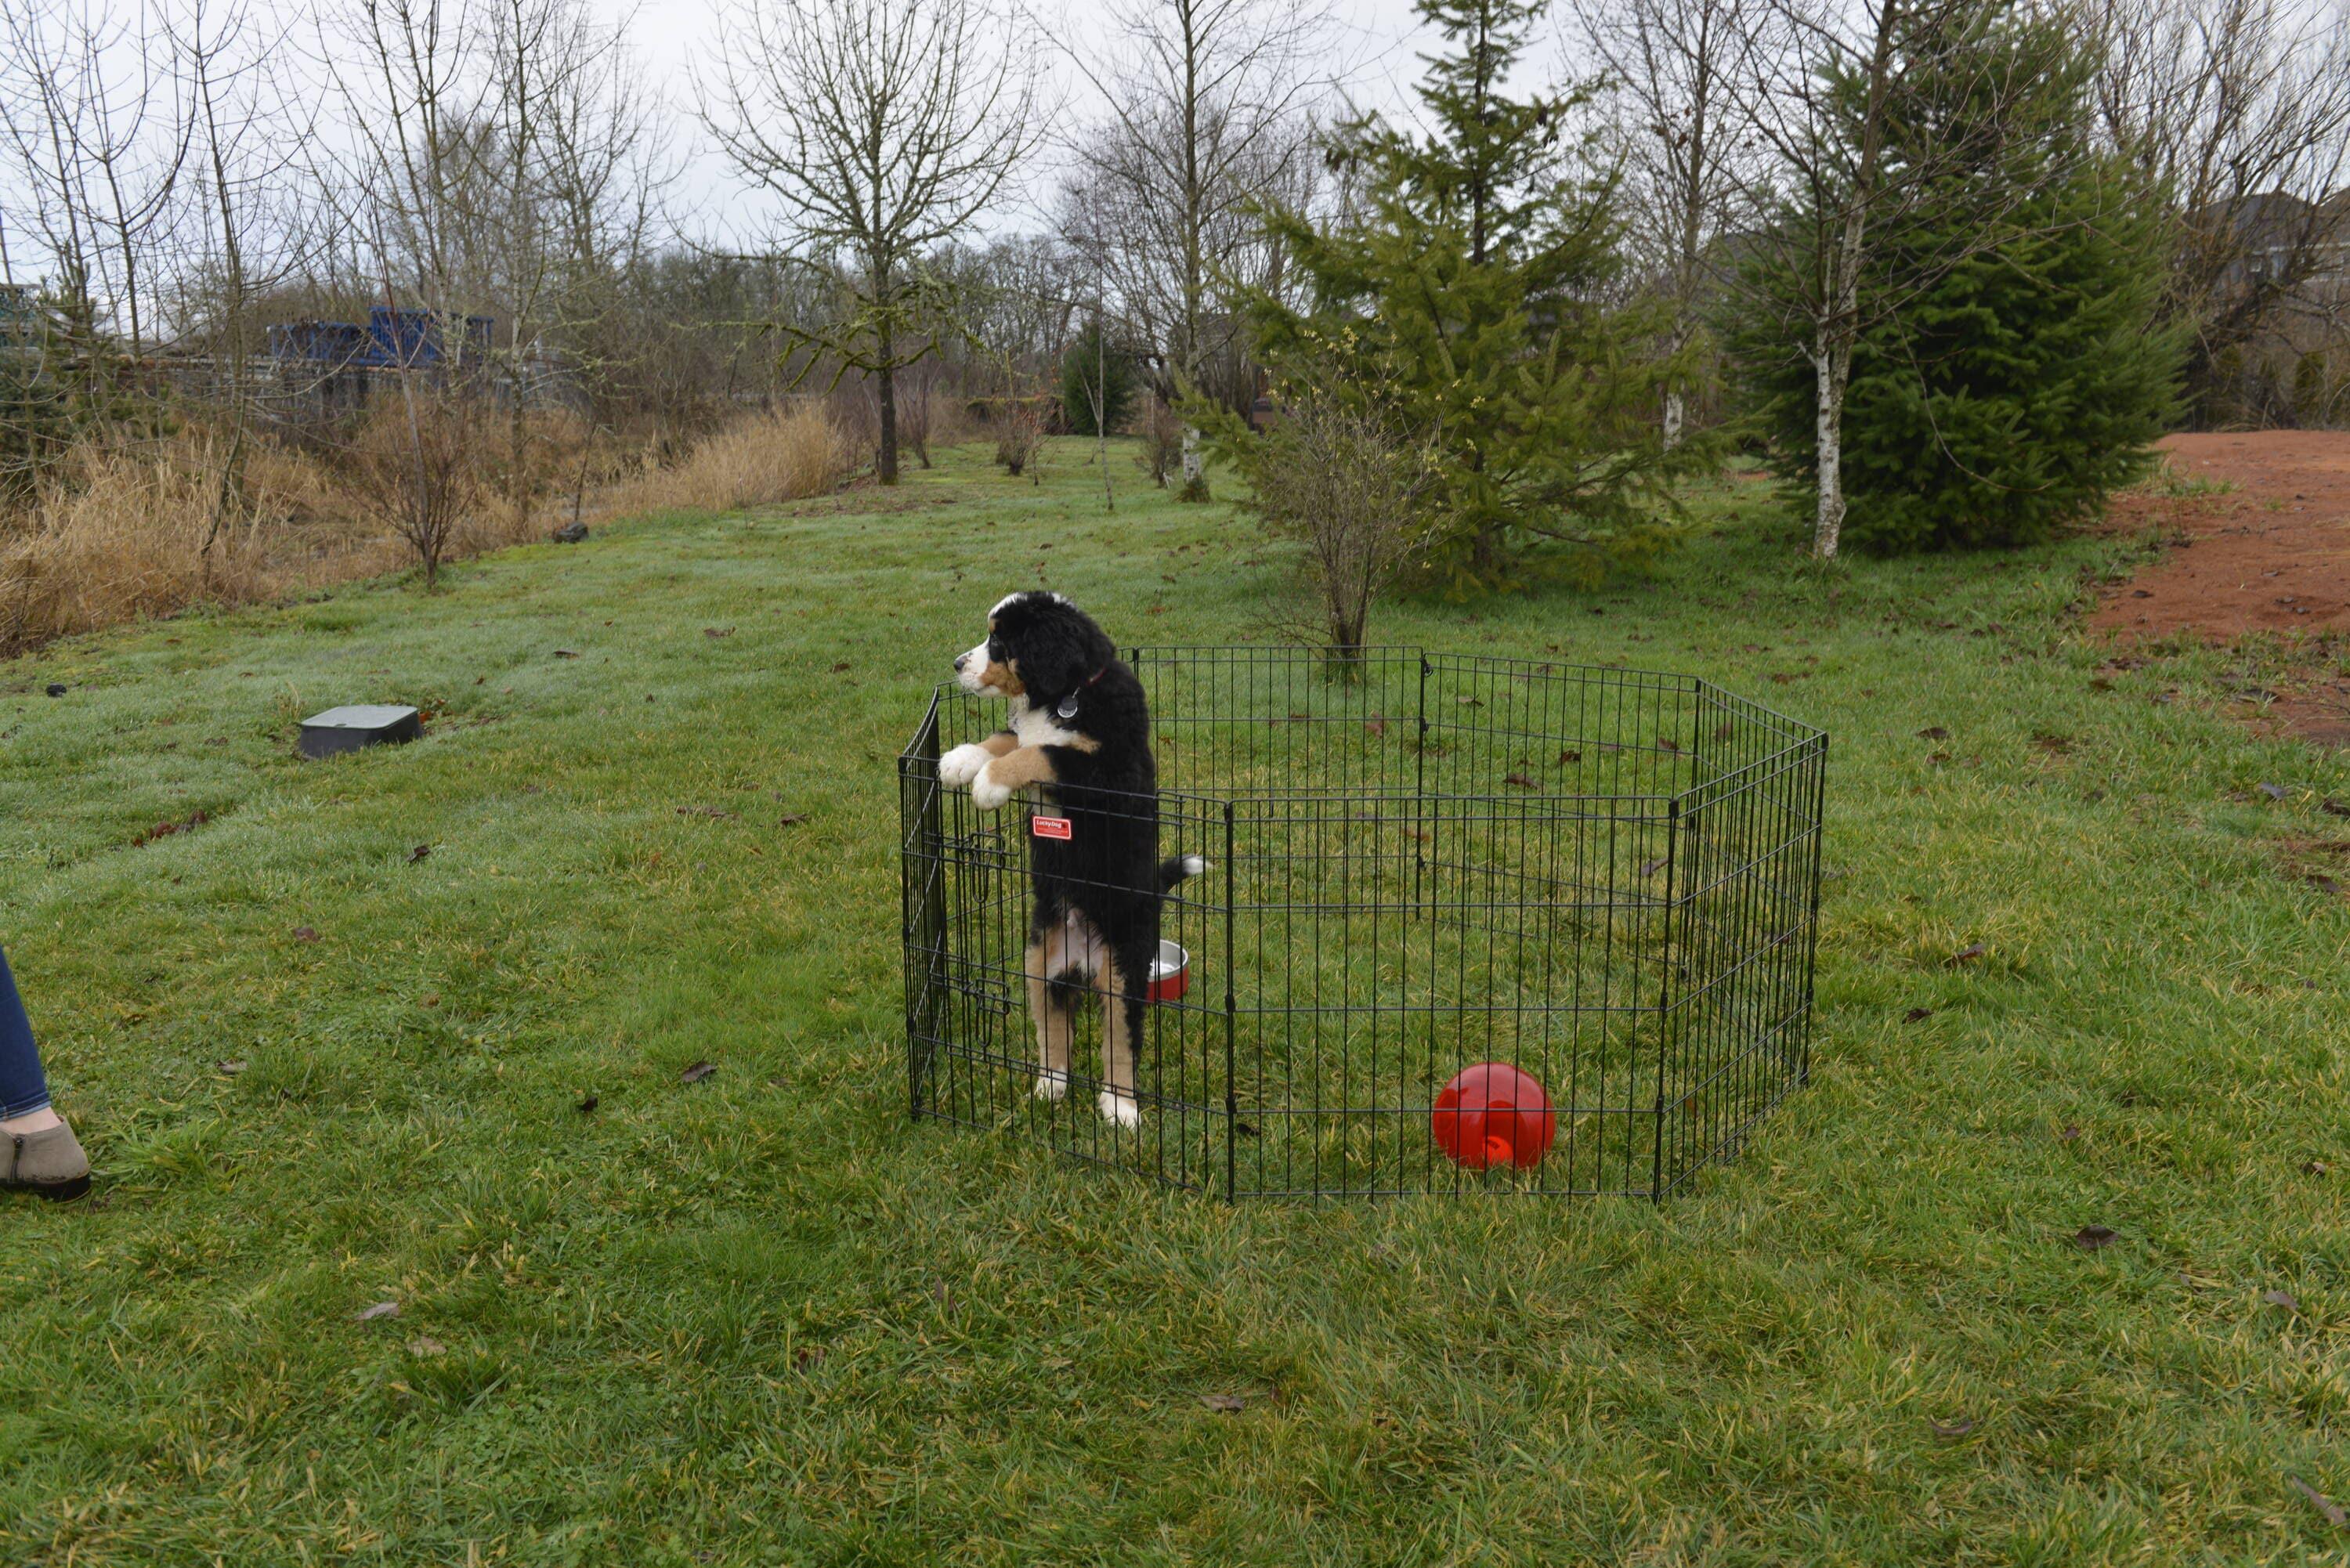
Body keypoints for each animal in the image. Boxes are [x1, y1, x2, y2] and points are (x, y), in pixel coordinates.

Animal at [935, 592, 1194, 1128]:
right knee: (1054, 1035)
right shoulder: (1031, 734)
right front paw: (961, 760)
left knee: (1120, 1044)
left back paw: (1120, 1110)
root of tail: (1082, 958)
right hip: (1039, 964)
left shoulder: (1105, 772)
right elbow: (1009, 738)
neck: (1065, 695)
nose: (957, 665)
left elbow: (1042, 752)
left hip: (1124, 970)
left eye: (999, 642)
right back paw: (1048, 1088)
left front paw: (988, 785)